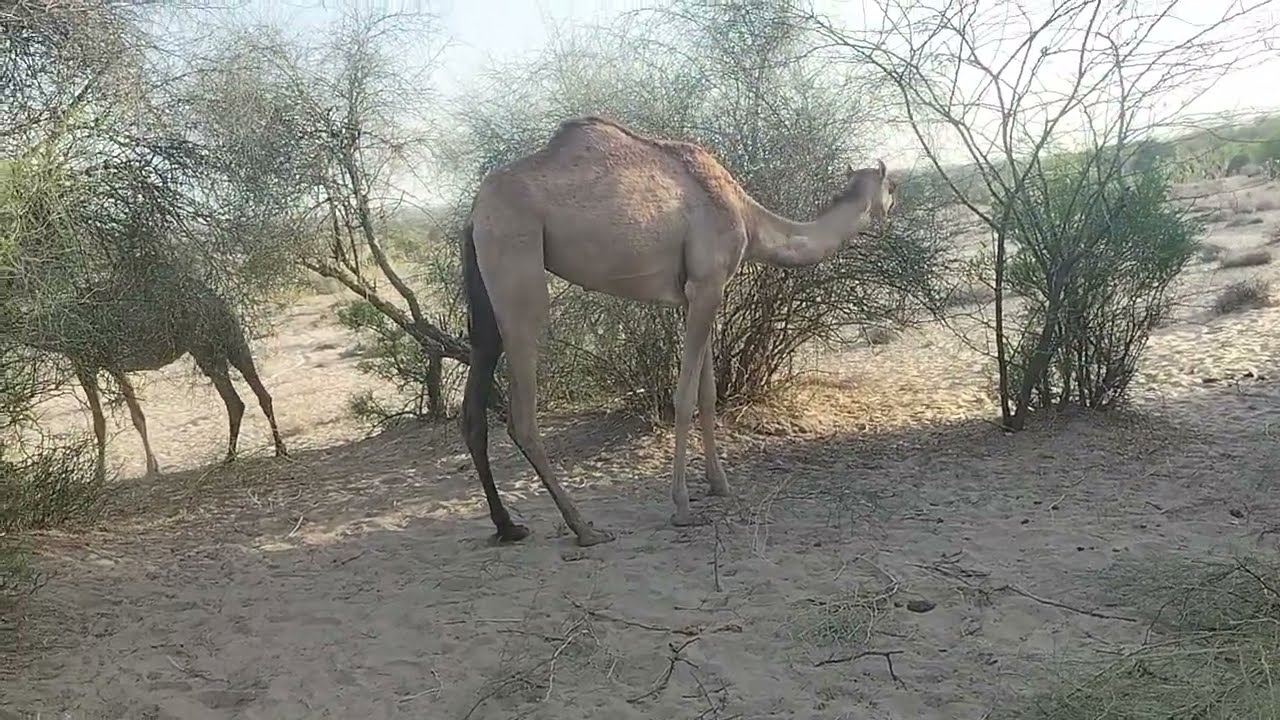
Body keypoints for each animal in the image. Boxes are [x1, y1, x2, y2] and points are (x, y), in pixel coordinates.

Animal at [16, 262, 288, 480]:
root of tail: (217, 301)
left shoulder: (91, 362)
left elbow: (104, 421)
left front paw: (103, 476)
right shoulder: (106, 364)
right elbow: (133, 415)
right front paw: (152, 466)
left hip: (205, 346)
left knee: (235, 401)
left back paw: (230, 457)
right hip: (231, 340)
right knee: (258, 394)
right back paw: (278, 449)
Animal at [460, 116, 897, 546]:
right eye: (891, 185)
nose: (896, 203)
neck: (746, 217)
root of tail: (475, 213)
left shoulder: (697, 294)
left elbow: (708, 393)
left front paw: (719, 484)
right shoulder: (707, 285)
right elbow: (685, 398)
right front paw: (683, 506)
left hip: (485, 292)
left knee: (475, 402)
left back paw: (508, 526)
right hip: (517, 262)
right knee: (522, 415)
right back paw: (584, 528)